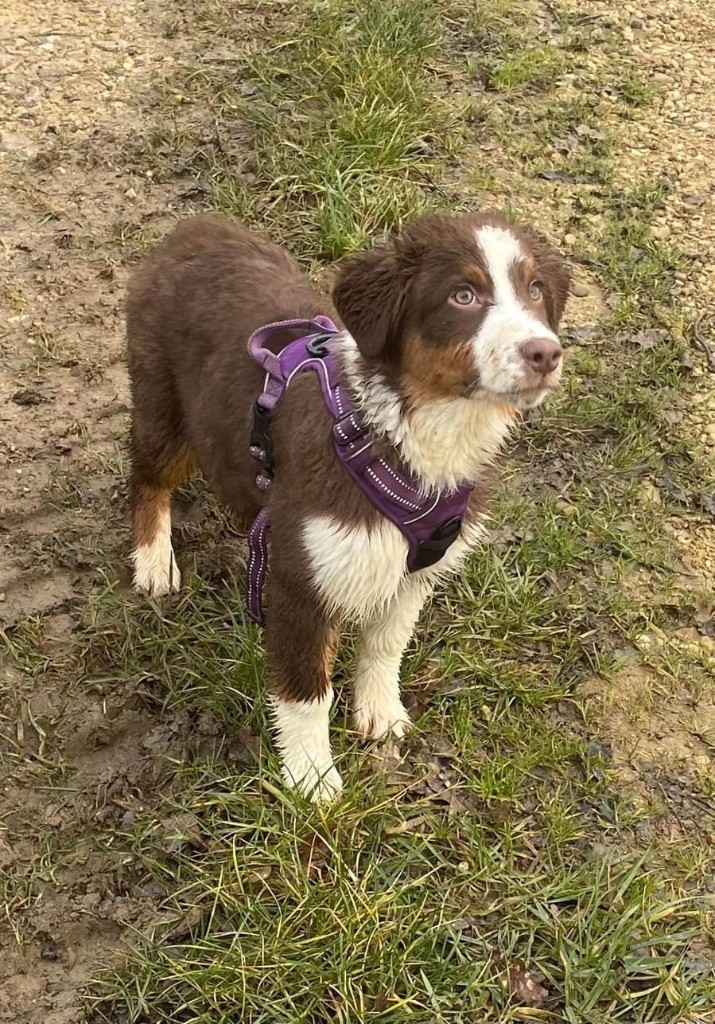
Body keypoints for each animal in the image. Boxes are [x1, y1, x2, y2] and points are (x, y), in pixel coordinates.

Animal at [126, 209, 569, 798]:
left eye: (535, 290)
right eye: (463, 295)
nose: (545, 353)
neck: (410, 436)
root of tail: (195, 229)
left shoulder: (415, 570)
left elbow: (386, 644)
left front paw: (380, 712)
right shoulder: (300, 579)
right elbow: (306, 688)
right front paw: (312, 780)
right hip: (165, 408)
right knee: (147, 475)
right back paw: (154, 560)